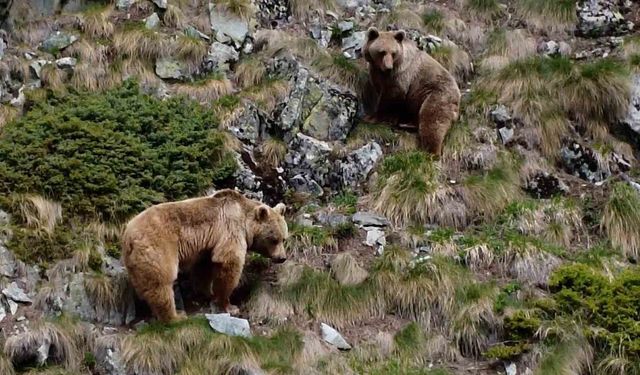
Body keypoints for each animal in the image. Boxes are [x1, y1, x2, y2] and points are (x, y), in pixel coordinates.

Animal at [122, 189, 288, 324]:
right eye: (274, 239)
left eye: (284, 238)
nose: (282, 258)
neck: (245, 221)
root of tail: (128, 235)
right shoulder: (230, 229)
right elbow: (230, 262)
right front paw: (230, 305)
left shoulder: (207, 246)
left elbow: (204, 269)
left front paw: (207, 292)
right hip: (159, 247)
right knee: (162, 281)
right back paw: (175, 316)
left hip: (135, 261)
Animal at [362, 27, 462, 155]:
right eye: (382, 52)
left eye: (393, 53)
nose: (388, 67)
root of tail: (458, 96)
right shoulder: (376, 73)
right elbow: (380, 90)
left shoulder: (400, 74)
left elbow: (392, 96)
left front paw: (373, 117)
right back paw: (408, 124)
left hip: (438, 95)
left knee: (432, 120)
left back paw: (430, 151)